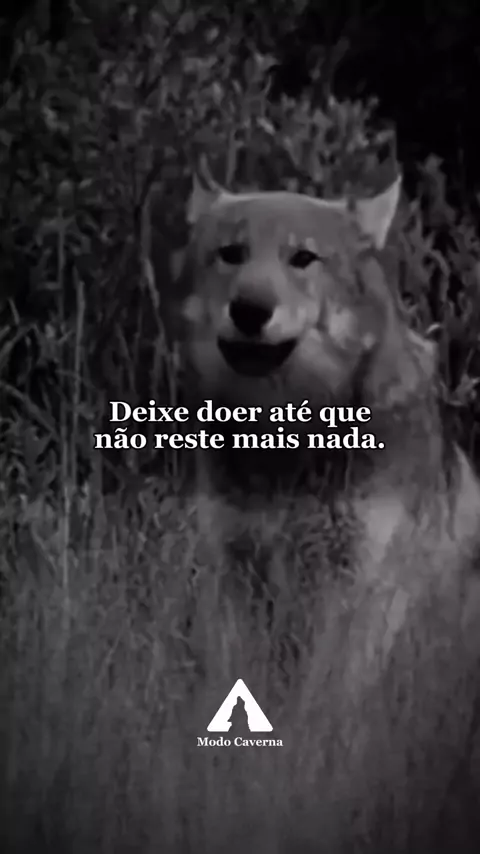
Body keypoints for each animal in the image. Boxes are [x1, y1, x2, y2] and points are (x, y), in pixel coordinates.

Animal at [156, 160, 480, 851]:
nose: (251, 309)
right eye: (232, 254)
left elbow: (323, 706)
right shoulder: (235, 571)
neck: (288, 449)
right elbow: (237, 688)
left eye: (303, 258)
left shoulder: (355, 589)